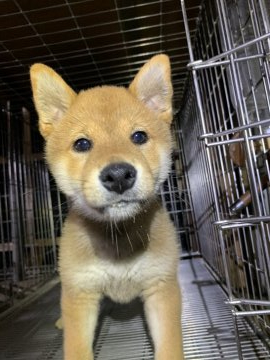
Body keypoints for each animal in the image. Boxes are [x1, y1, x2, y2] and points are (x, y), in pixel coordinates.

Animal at [31, 54, 184, 360]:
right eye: (82, 143)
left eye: (139, 137)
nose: (119, 175)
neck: (118, 239)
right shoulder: (80, 293)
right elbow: (76, 347)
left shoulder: (161, 287)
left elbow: (170, 348)